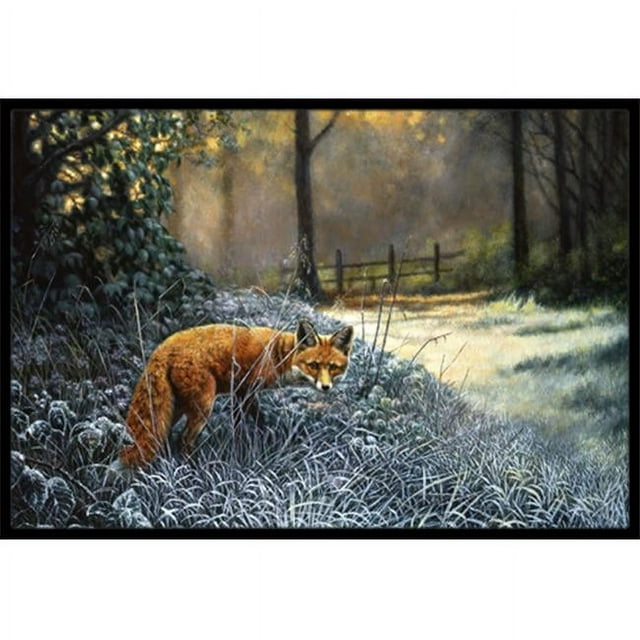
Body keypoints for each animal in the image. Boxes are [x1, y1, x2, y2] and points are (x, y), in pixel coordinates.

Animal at [119, 319, 354, 467]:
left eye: (333, 367)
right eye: (313, 365)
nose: (326, 387)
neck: (278, 355)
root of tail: (162, 348)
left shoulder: (240, 393)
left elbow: (243, 424)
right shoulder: (245, 391)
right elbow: (256, 421)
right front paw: (260, 440)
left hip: (175, 408)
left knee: (164, 437)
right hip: (203, 407)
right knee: (184, 440)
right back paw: (193, 469)